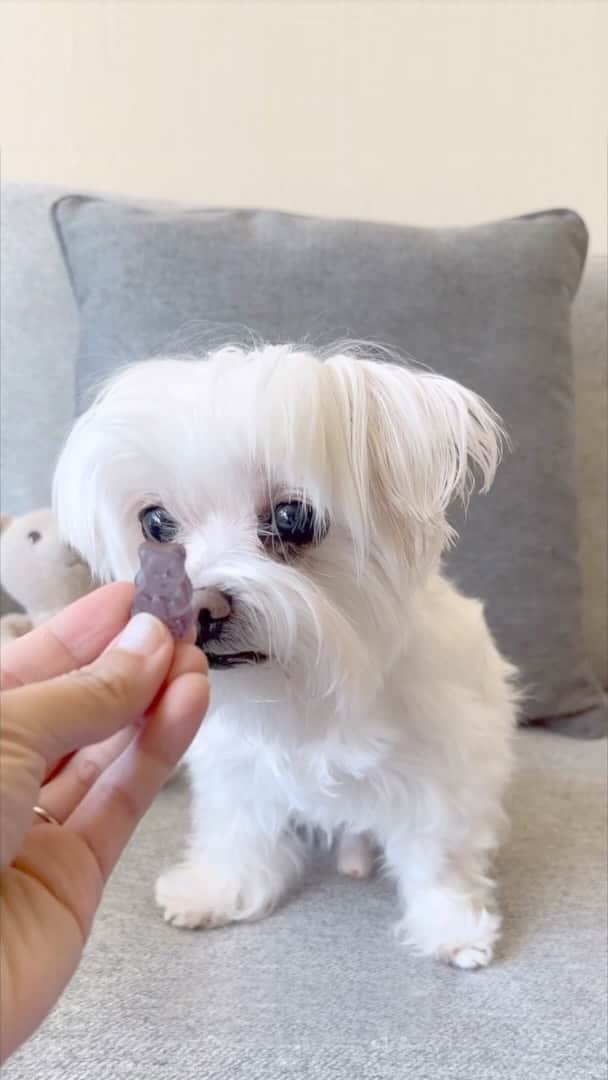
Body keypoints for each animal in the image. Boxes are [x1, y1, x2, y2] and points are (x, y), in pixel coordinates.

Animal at [54, 345, 516, 972]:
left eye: (293, 518)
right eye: (155, 523)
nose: (197, 607)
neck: (307, 690)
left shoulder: (446, 768)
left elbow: (437, 856)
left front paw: (450, 925)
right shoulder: (235, 766)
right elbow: (236, 831)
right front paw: (216, 890)